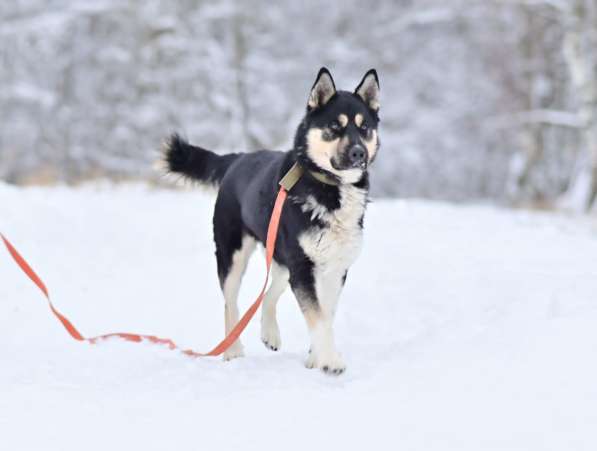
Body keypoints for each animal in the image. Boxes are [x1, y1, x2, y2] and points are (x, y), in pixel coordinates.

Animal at [161, 68, 380, 374]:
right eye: (335, 127)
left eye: (364, 128)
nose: (359, 153)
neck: (329, 187)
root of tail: (238, 159)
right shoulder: (303, 266)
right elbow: (318, 317)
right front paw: (329, 360)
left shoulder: (335, 268)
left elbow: (326, 315)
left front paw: (317, 357)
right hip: (234, 255)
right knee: (230, 302)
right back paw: (232, 351)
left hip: (281, 255)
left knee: (269, 291)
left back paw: (270, 333)